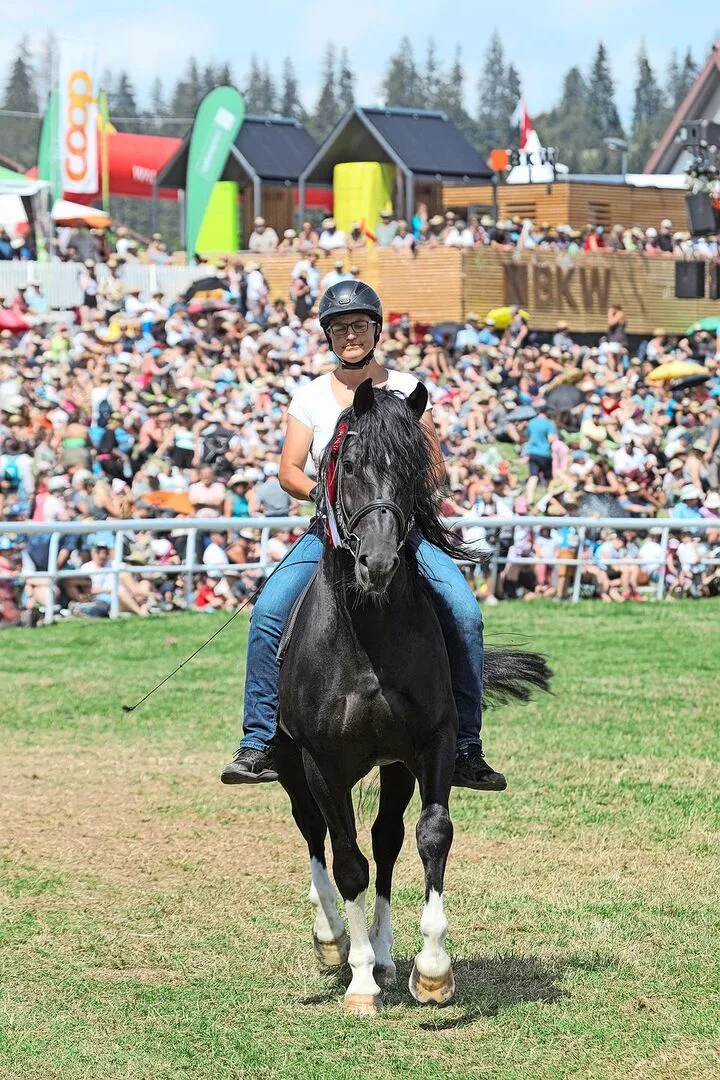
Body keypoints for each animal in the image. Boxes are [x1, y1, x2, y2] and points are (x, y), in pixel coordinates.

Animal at [273, 379, 551, 1015]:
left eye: (410, 468)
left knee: (387, 841)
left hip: (394, 765)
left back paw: (383, 951)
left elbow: (429, 836)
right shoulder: (321, 762)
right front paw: (358, 982)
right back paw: (332, 939)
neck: (369, 633)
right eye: (349, 464)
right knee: (314, 832)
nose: (377, 561)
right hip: (288, 762)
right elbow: (347, 861)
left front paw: (431, 971)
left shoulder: (432, 743)